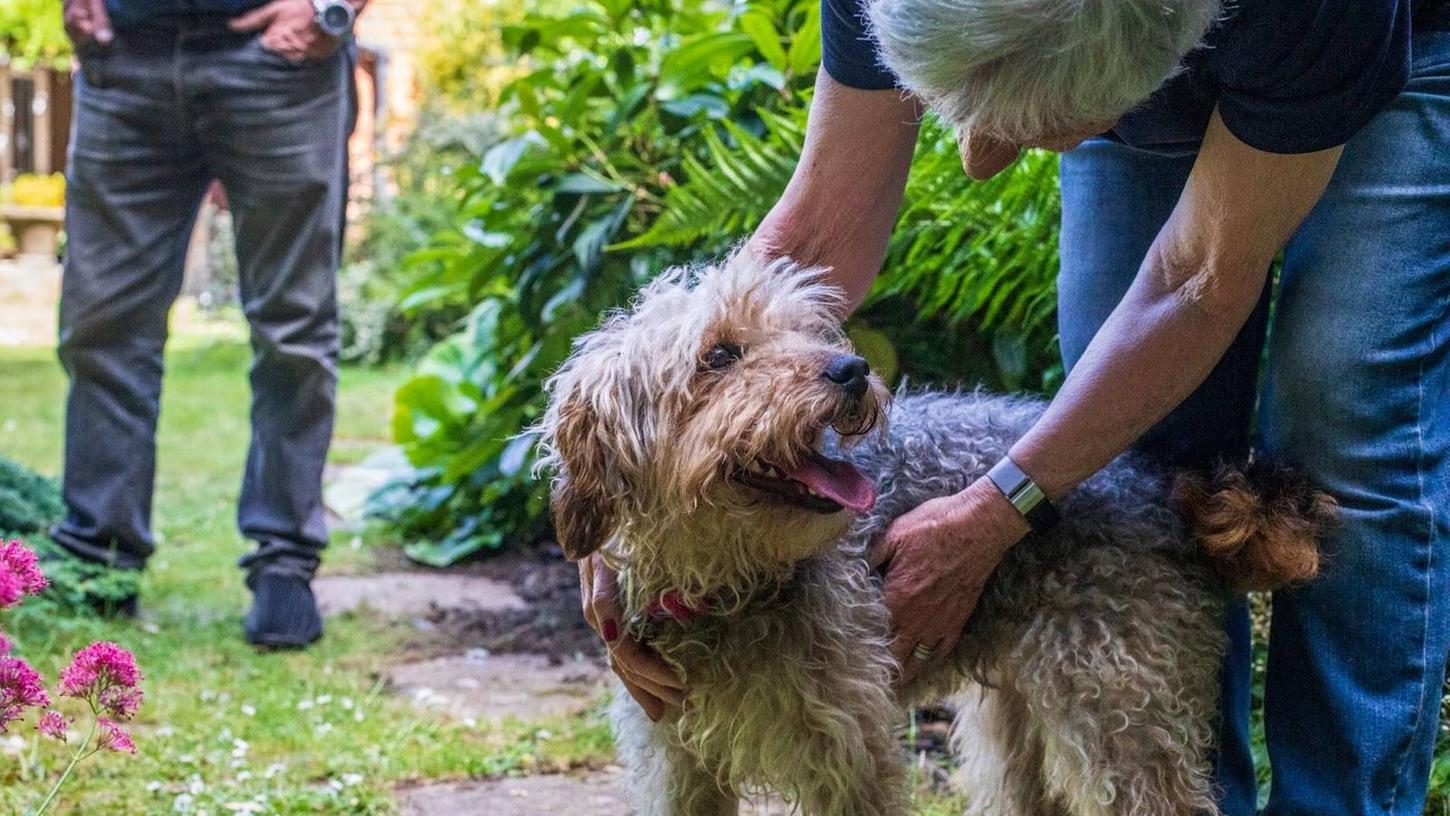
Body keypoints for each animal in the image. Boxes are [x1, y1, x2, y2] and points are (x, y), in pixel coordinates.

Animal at [536, 252, 1334, 811]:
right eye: (720, 354)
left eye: (805, 331)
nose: (851, 368)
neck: (727, 590)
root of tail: (1160, 484)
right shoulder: (676, 761)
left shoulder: (848, 754)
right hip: (1018, 730)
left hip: (1119, 720)